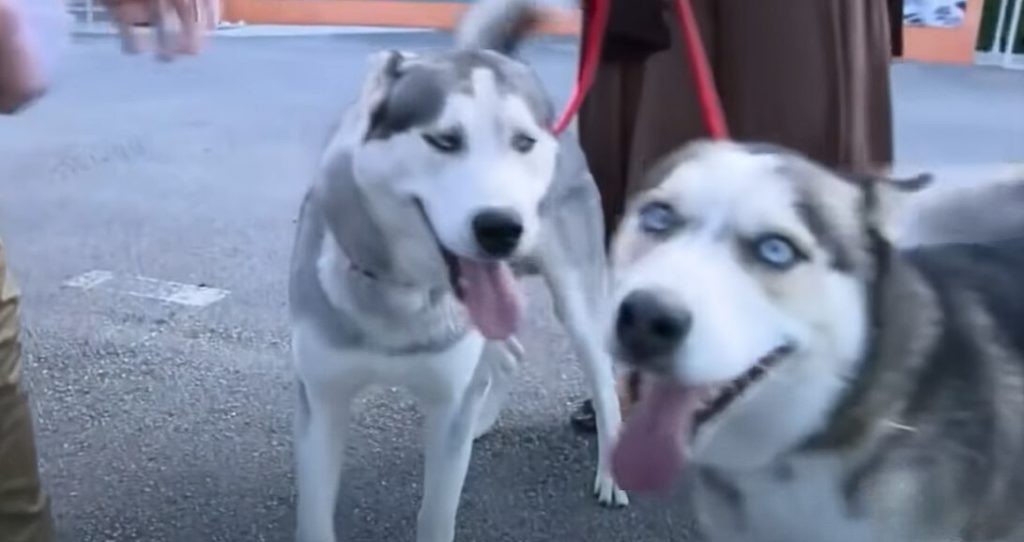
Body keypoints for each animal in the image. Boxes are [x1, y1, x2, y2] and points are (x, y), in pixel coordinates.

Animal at [284, 1, 626, 540]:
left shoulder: (447, 412)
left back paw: (610, 468)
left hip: (577, 305)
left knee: (603, 382)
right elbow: (316, 515)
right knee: (508, 355)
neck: (399, 296)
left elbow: (437, 512)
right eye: (444, 140)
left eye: (522, 142)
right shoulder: (321, 399)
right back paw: (484, 419)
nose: (502, 227)